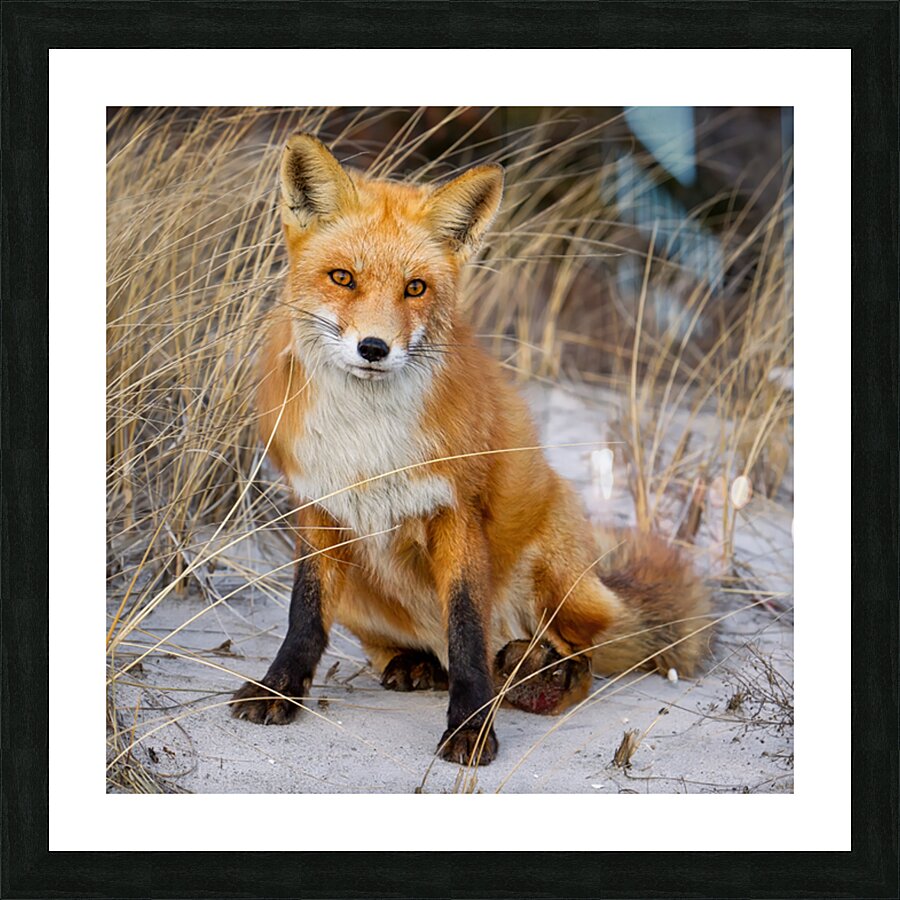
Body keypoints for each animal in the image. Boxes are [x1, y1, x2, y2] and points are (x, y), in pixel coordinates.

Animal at [230, 133, 712, 765]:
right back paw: (416, 665)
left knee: (573, 657)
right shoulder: (317, 508)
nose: (374, 348)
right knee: (417, 648)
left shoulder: (457, 511)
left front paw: (470, 727)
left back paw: (539, 677)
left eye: (415, 287)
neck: (367, 438)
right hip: (359, 584)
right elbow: (304, 616)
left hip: (556, 560)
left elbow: (465, 630)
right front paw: (279, 689)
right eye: (342, 278)